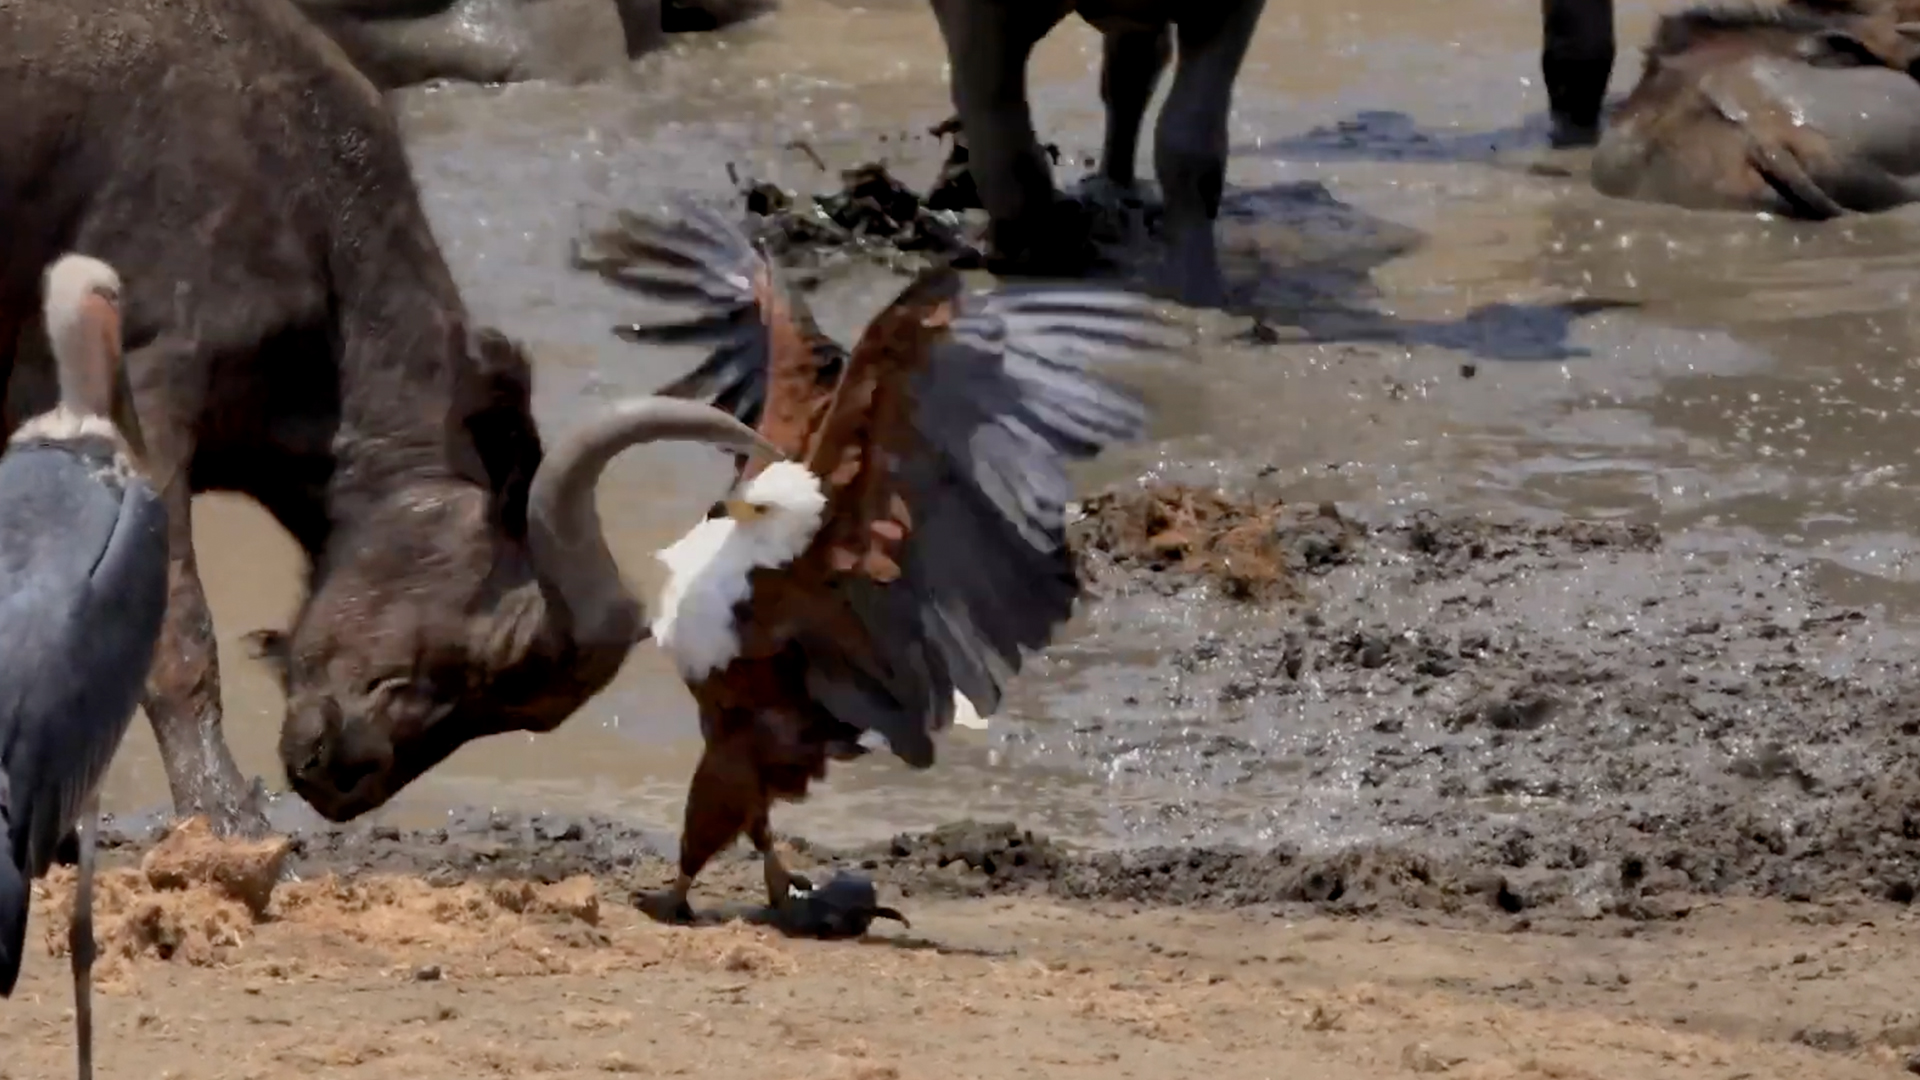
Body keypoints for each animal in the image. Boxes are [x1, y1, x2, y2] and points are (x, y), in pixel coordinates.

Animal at [1, 0, 779, 826]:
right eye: (499, 653)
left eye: (521, 709)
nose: (348, 778)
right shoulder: (148, 395)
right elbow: (177, 633)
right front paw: (224, 812)